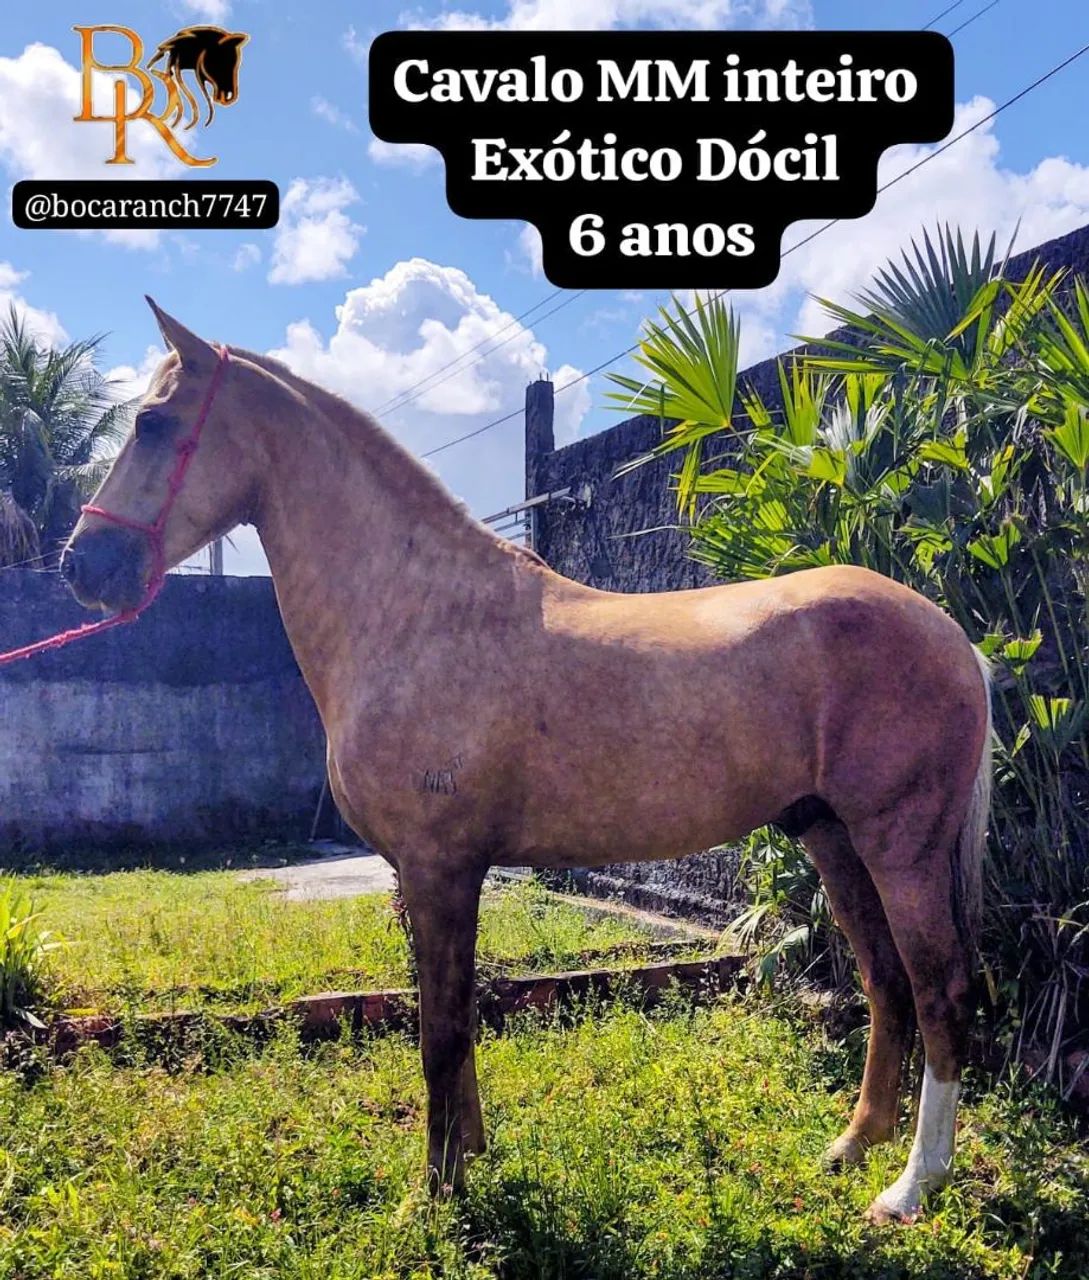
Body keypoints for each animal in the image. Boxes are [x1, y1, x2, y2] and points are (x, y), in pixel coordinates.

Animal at [60, 300, 992, 1225]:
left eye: (152, 423)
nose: (81, 565)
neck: (417, 615)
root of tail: (952, 635)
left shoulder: (439, 867)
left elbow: (438, 1034)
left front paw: (437, 1194)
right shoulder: (437, 873)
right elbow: (457, 1017)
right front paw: (469, 1155)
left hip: (899, 844)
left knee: (939, 991)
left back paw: (911, 1187)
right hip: (831, 838)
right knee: (885, 982)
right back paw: (850, 1147)